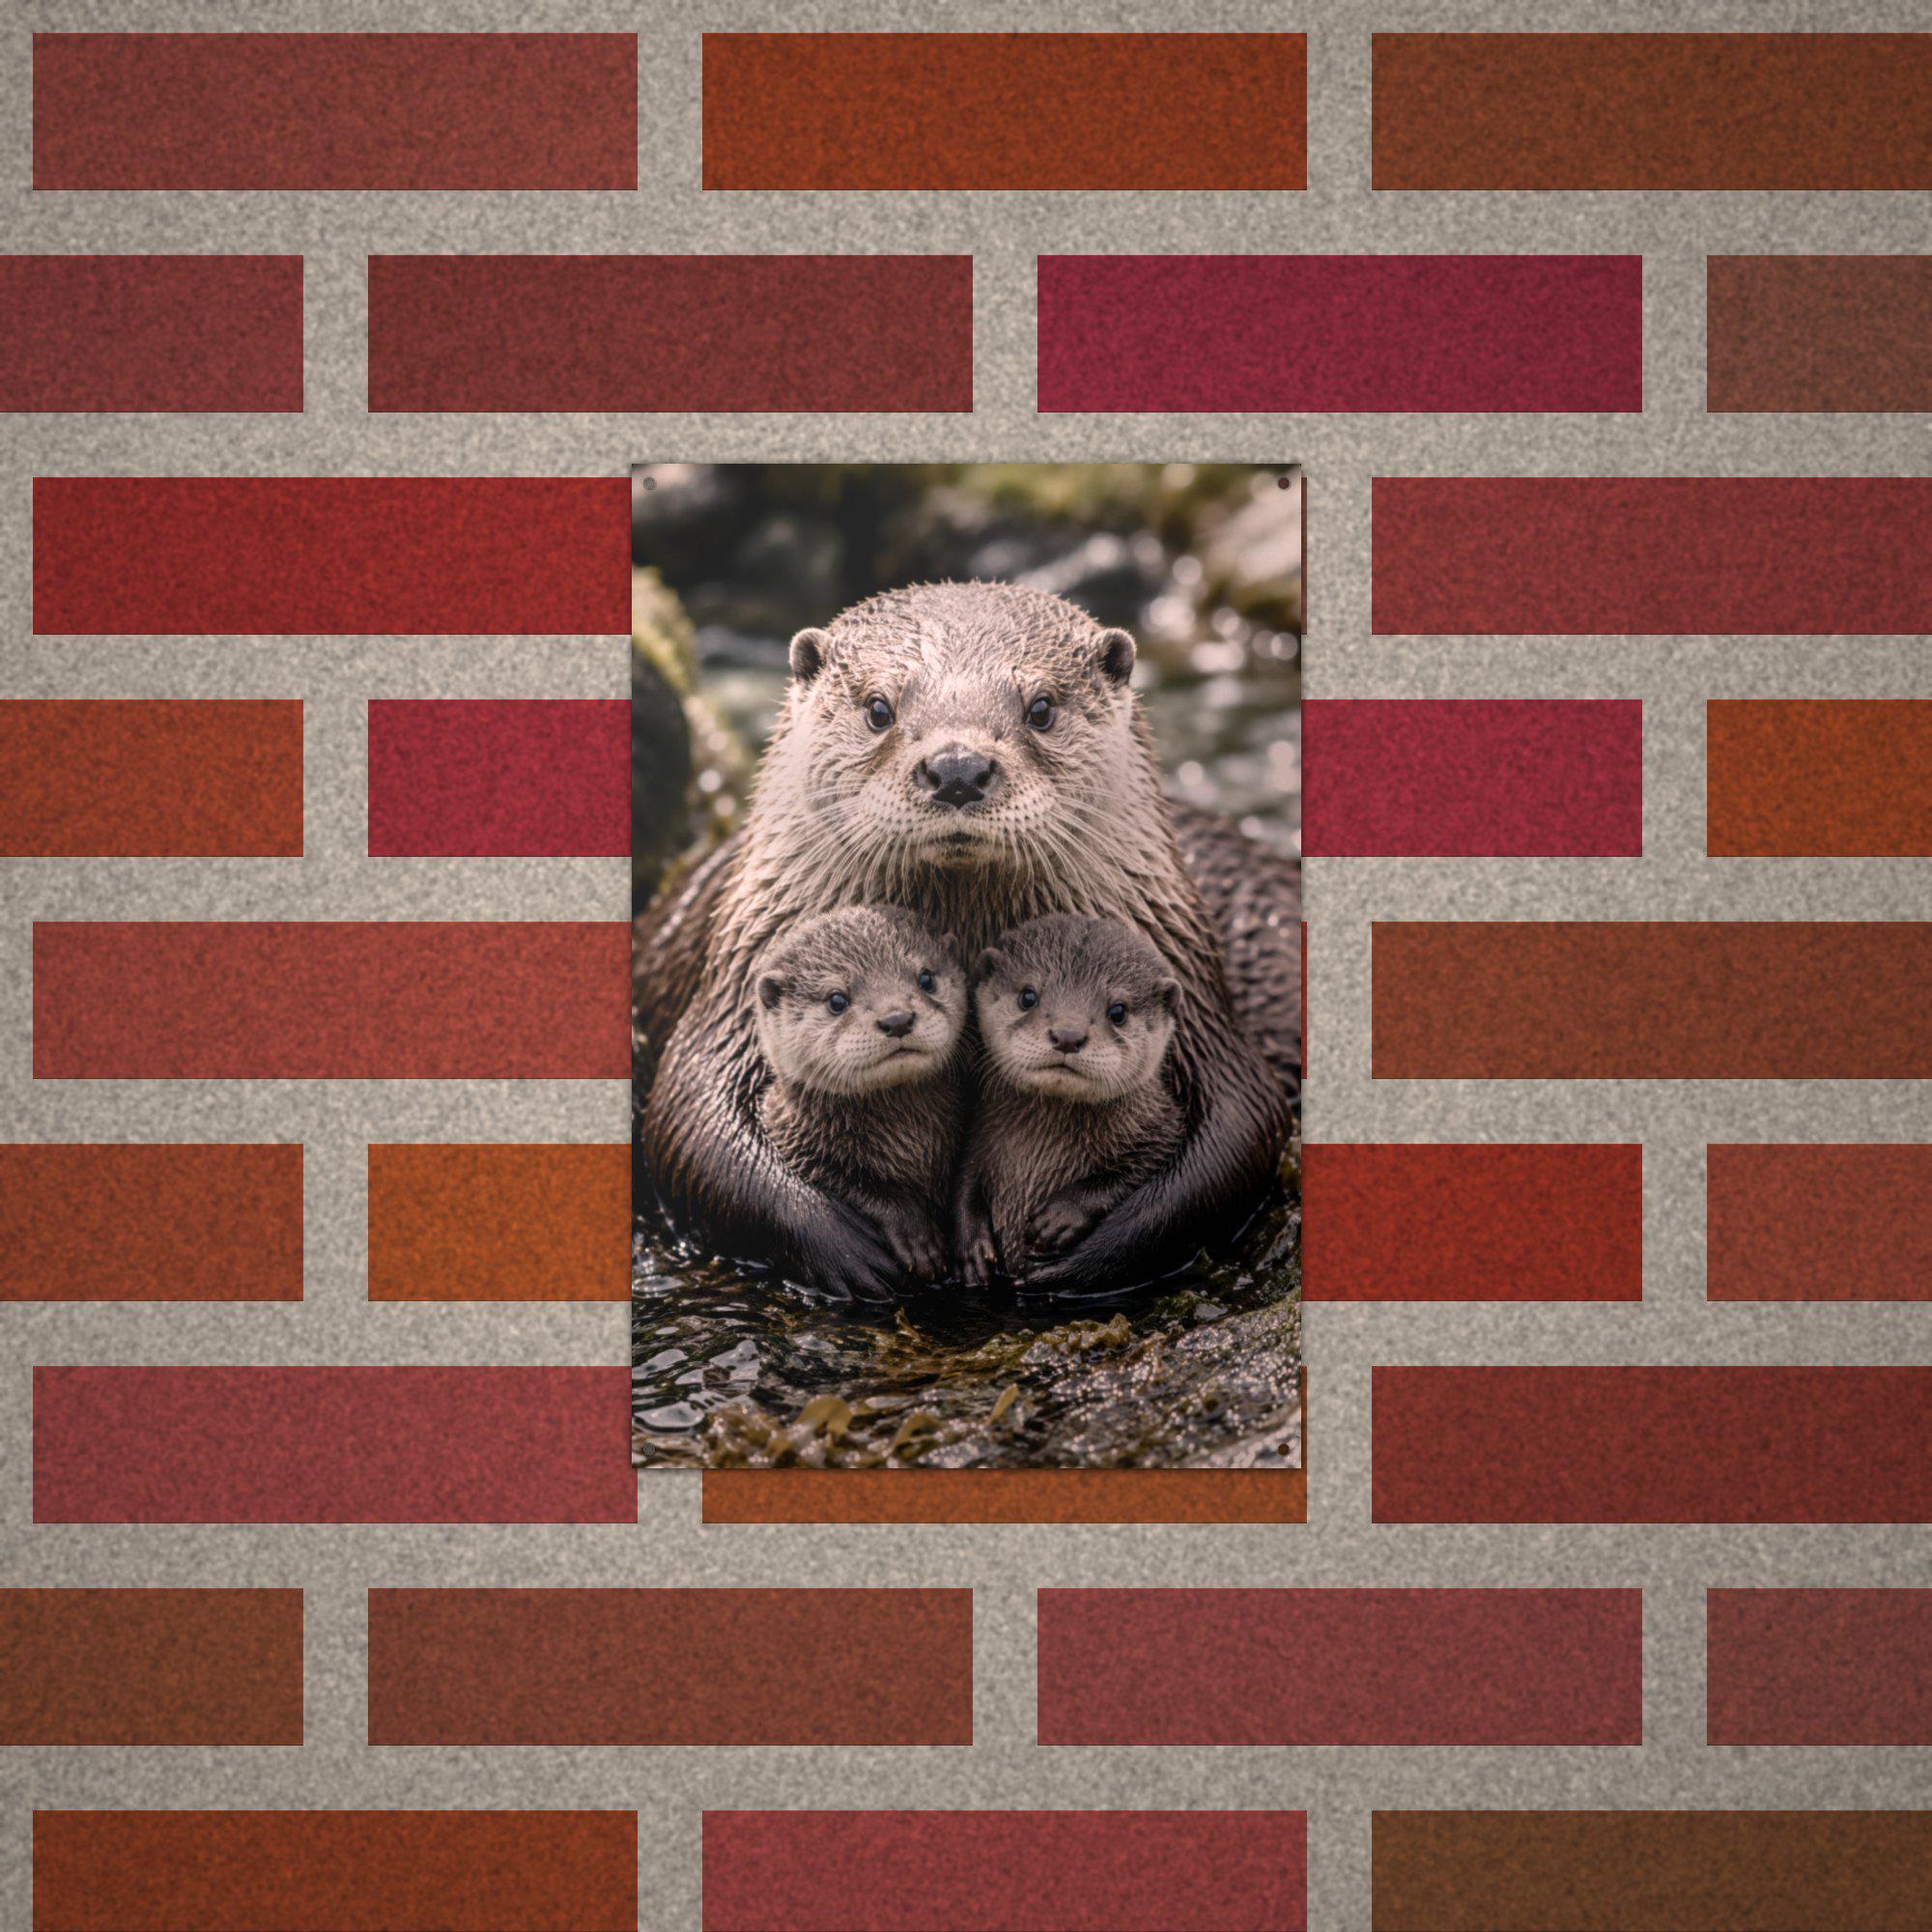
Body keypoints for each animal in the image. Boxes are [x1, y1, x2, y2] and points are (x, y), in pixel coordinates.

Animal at [752, 906, 966, 1280]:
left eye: (926, 979)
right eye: (837, 999)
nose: (897, 1018)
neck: (909, 1140)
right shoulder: (798, 1144)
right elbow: (857, 1187)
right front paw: (915, 1235)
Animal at [956, 916, 1186, 1286]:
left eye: (1118, 1011)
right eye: (1028, 996)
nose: (1067, 1035)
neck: (1043, 1146)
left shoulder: (1164, 1127)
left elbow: (1136, 1169)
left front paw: (1062, 1215)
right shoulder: (977, 1134)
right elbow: (964, 1182)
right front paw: (972, 1246)